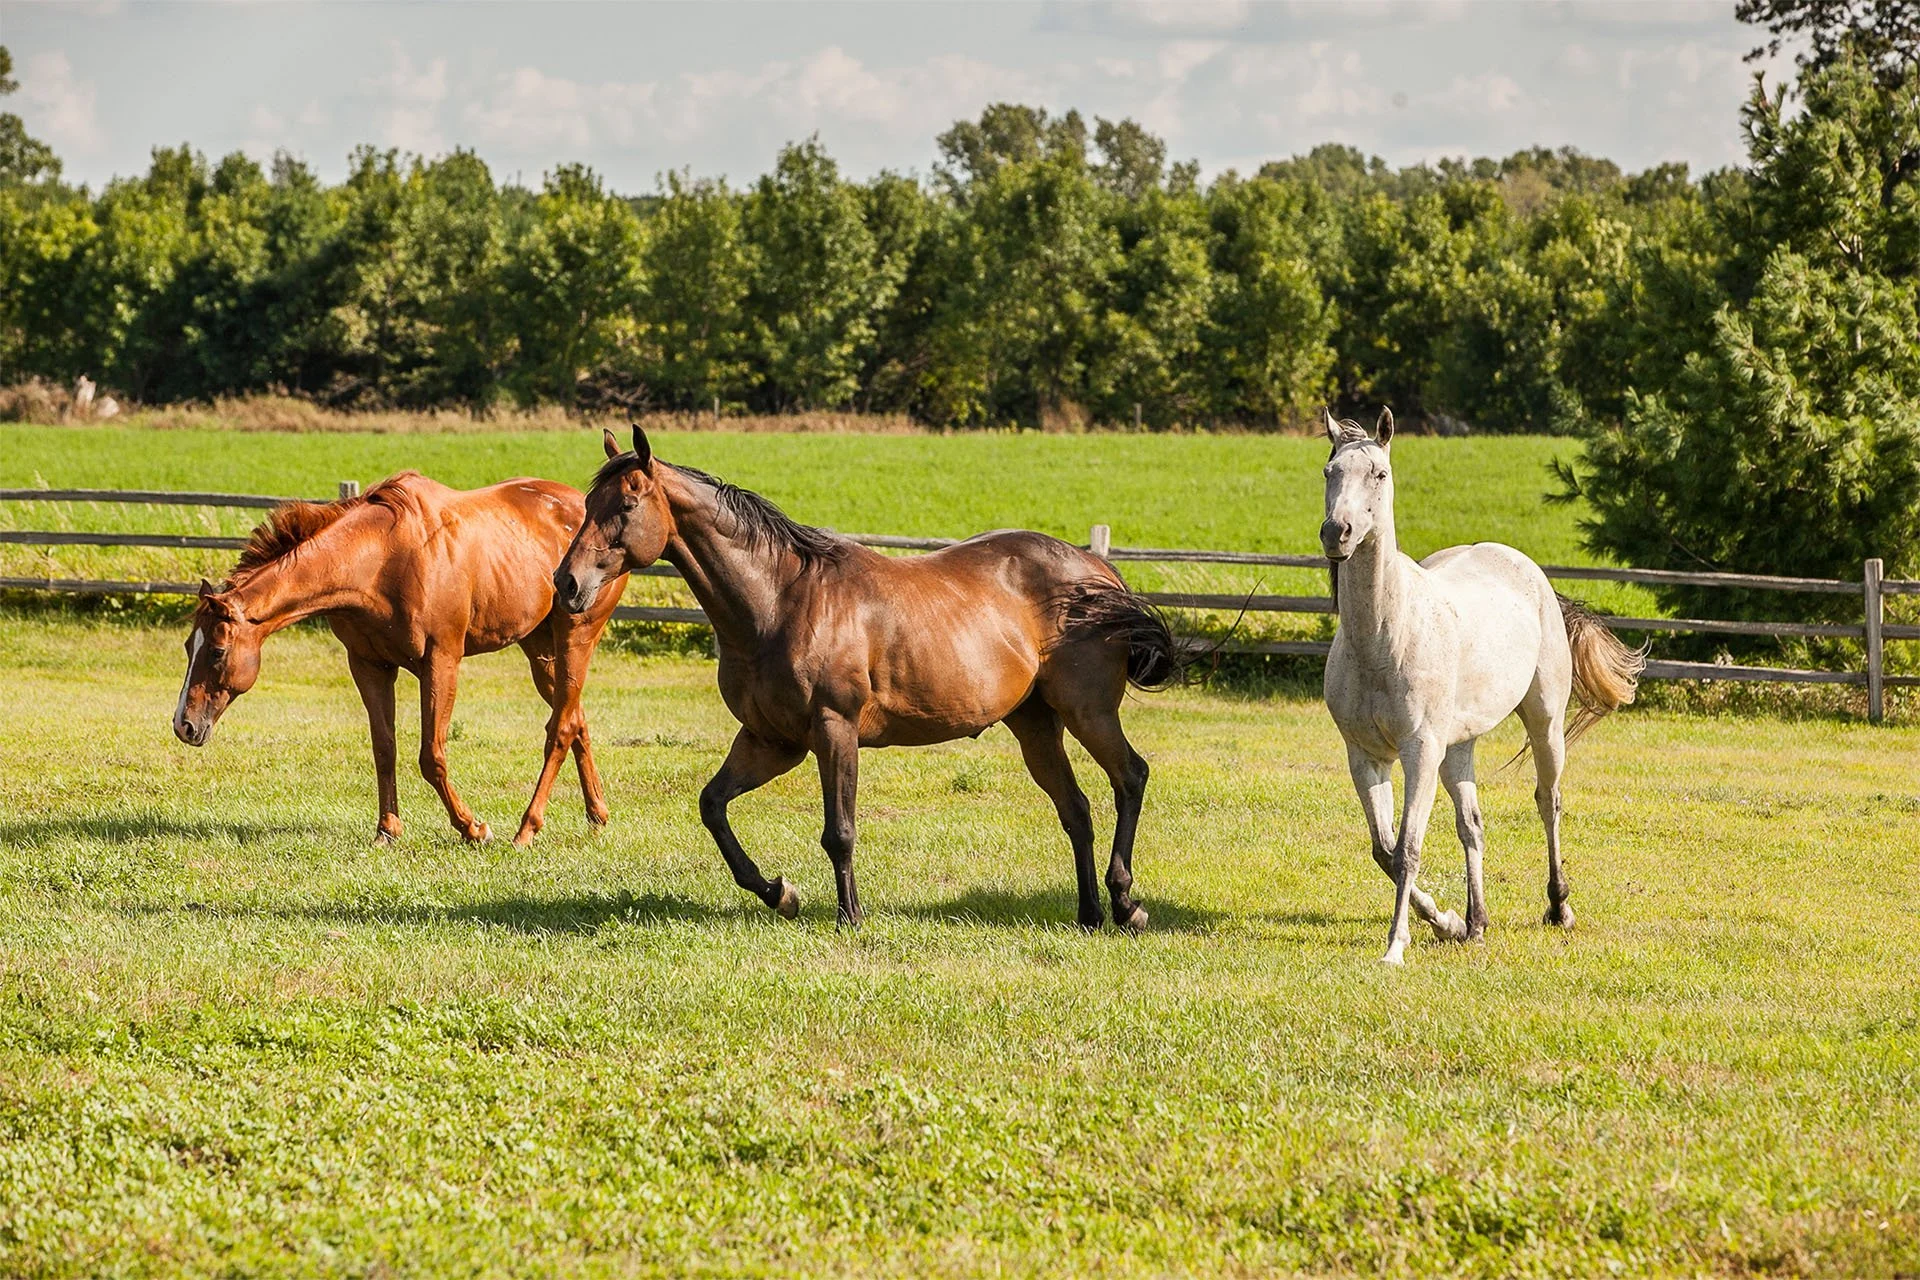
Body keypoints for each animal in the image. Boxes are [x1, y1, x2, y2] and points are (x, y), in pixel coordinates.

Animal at [172, 472, 629, 847]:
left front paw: (472, 828)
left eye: (216, 650)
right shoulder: (368, 666)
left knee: (563, 725)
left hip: (575, 638)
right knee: (575, 719)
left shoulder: (441, 662)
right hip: (539, 650)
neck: (382, 561)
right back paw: (596, 815)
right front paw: (387, 830)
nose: (184, 725)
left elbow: (431, 756)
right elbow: (384, 748)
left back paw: (529, 828)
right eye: (188, 647)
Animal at [552, 424, 1182, 930]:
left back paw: (1126, 904)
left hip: (1087, 712)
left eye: (626, 505)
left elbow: (840, 830)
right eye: (587, 503)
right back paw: (1090, 913)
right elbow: (713, 806)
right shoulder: (772, 741)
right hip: (1035, 723)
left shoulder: (835, 729)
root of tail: (1098, 570)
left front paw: (848, 916)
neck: (780, 601)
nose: (567, 583)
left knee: (1130, 777)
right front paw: (779, 893)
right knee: (1075, 810)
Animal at [1319, 408, 1646, 964]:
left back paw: (1559, 907)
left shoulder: (1420, 752)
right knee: (1471, 823)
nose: (1336, 532)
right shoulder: (1365, 756)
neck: (1384, 636)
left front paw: (1396, 947)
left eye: (1379, 474)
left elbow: (1407, 850)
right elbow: (1384, 850)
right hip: (1459, 746)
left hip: (1544, 724)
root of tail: (1529, 570)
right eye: (1330, 471)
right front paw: (1445, 922)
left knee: (1548, 800)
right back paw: (1476, 922)